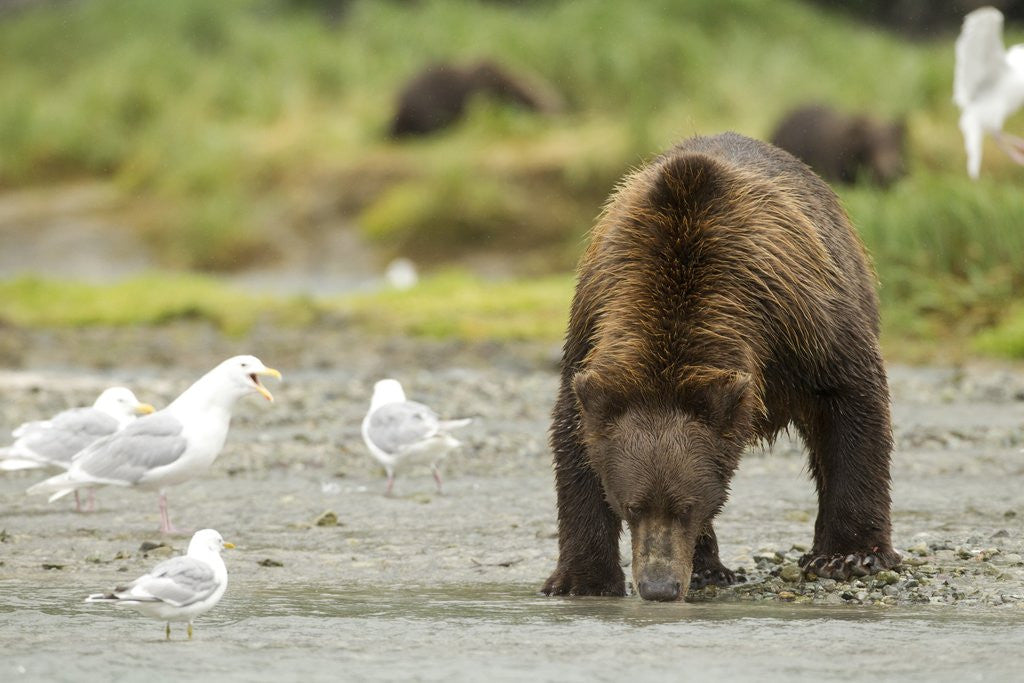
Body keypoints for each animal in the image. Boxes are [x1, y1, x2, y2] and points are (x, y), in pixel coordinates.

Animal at [542, 132, 900, 602]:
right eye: (631, 506)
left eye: (685, 506)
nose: (659, 586)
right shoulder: (596, 322)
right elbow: (576, 437)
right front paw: (582, 578)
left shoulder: (800, 319)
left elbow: (852, 399)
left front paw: (851, 556)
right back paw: (709, 569)